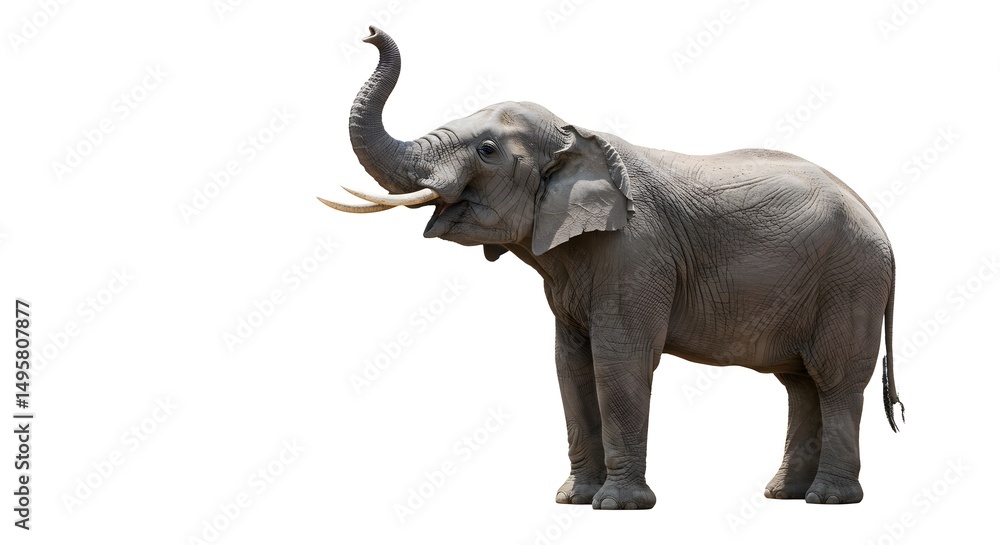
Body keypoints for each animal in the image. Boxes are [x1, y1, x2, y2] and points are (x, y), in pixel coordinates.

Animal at [320, 27, 904, 509]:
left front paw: (617, 507)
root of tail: (884, 231)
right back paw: (784, 495)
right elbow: (570, 366)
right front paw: (573, 500)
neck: (574, 133)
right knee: (800, 382)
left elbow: (619, 361)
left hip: (851, 281)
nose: (368, 32)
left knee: (833, 379)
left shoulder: (636, 254)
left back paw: (829, 500)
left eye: (486, 150)